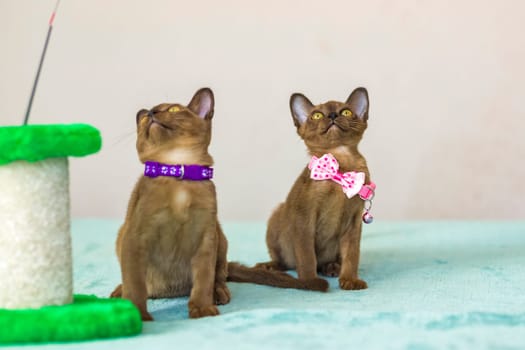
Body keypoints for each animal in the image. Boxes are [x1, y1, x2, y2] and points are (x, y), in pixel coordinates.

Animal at [256, 87, 374, 290]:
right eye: (317, 115)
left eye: (346, 112)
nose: (333, 115)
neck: (340, 164)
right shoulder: (304, 218)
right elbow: (307, 257)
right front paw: (310, 282)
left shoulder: (353, 222)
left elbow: (352, 256)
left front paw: (350, 280)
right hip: (277, 216)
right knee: (285, 261)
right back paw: (269, 267)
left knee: (332, 261)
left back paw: (332, 267)